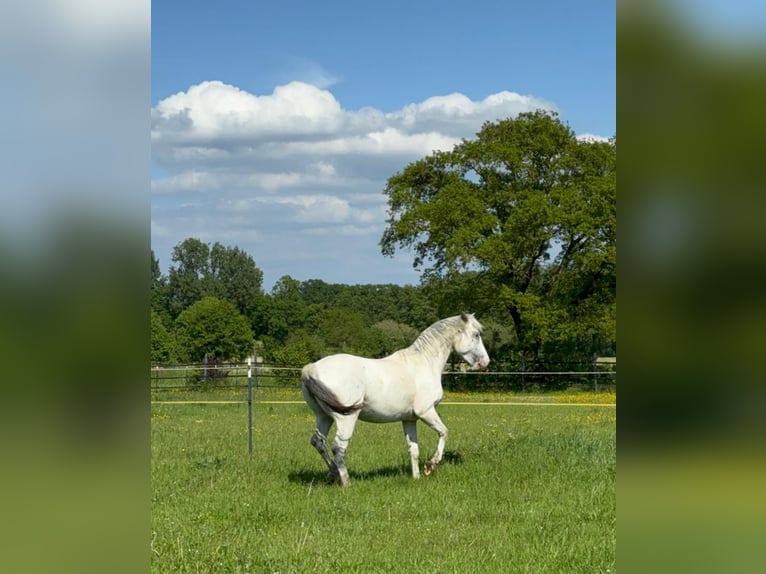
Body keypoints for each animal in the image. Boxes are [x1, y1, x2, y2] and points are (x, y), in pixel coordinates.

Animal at [301, 313, 490, 487]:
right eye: (476, 335)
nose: (485, 362)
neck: (424, 362)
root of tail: (310, 369)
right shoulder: (426, 412)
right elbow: (444, 432)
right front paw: (430, 466)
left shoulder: (409, 419)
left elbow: (413, 449)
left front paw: (416, 477)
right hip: (346, 419)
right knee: (338, 448)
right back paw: (346, 483)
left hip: (324, 417)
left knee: (318, 442)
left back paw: (333, 473)